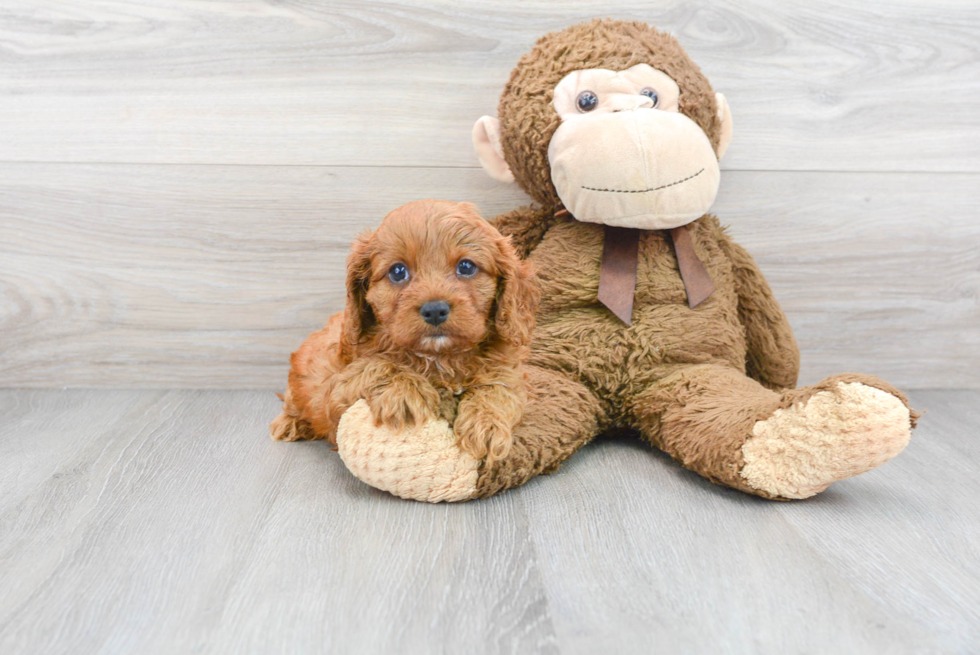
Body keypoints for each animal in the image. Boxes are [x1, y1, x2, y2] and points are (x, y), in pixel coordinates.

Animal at [272, 200, 540, 466]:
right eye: (398, 272)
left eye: (466, 267)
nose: (435, 310)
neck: (440, 357)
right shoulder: (338, 387)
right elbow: (378, 364)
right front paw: (405, 391)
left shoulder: (510, 374)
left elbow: (500, 389)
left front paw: (486, 424)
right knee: (292, 402)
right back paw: (289, 423)